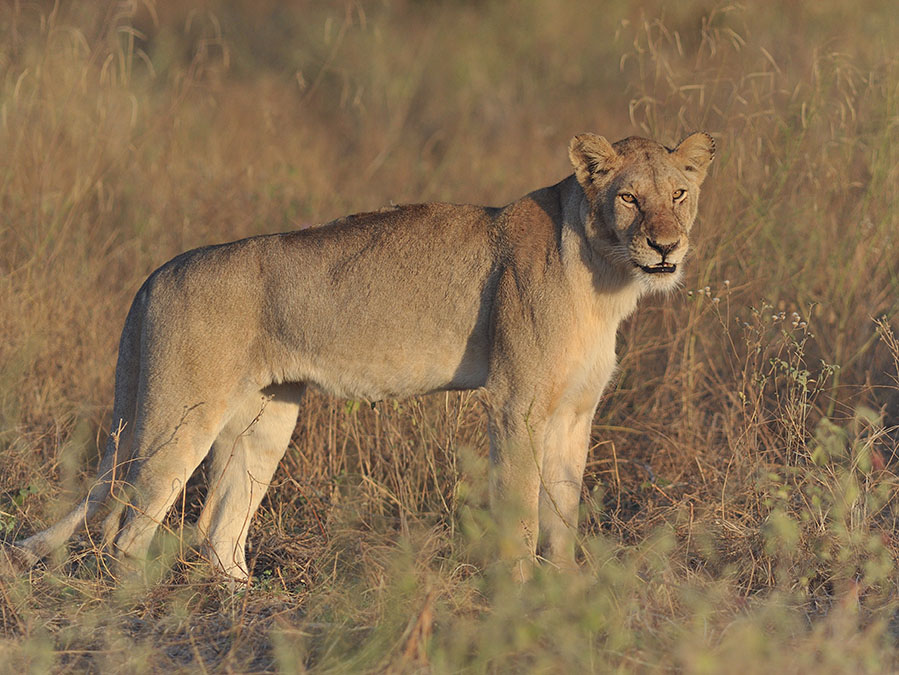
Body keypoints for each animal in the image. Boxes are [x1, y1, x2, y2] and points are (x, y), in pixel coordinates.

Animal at [14, 132, 715, 581]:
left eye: (679, 195)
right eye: (629, 198)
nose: (665, 245)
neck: (608, 277)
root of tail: (156, 273)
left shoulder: (573, 413)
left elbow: (563, 511)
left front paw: (563, 591)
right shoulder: (515, 405)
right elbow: (519, 507)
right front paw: (515, 594)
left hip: (267, 416)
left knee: (219, 532)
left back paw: (246, 600)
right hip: (178, 415)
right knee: (124, 532)